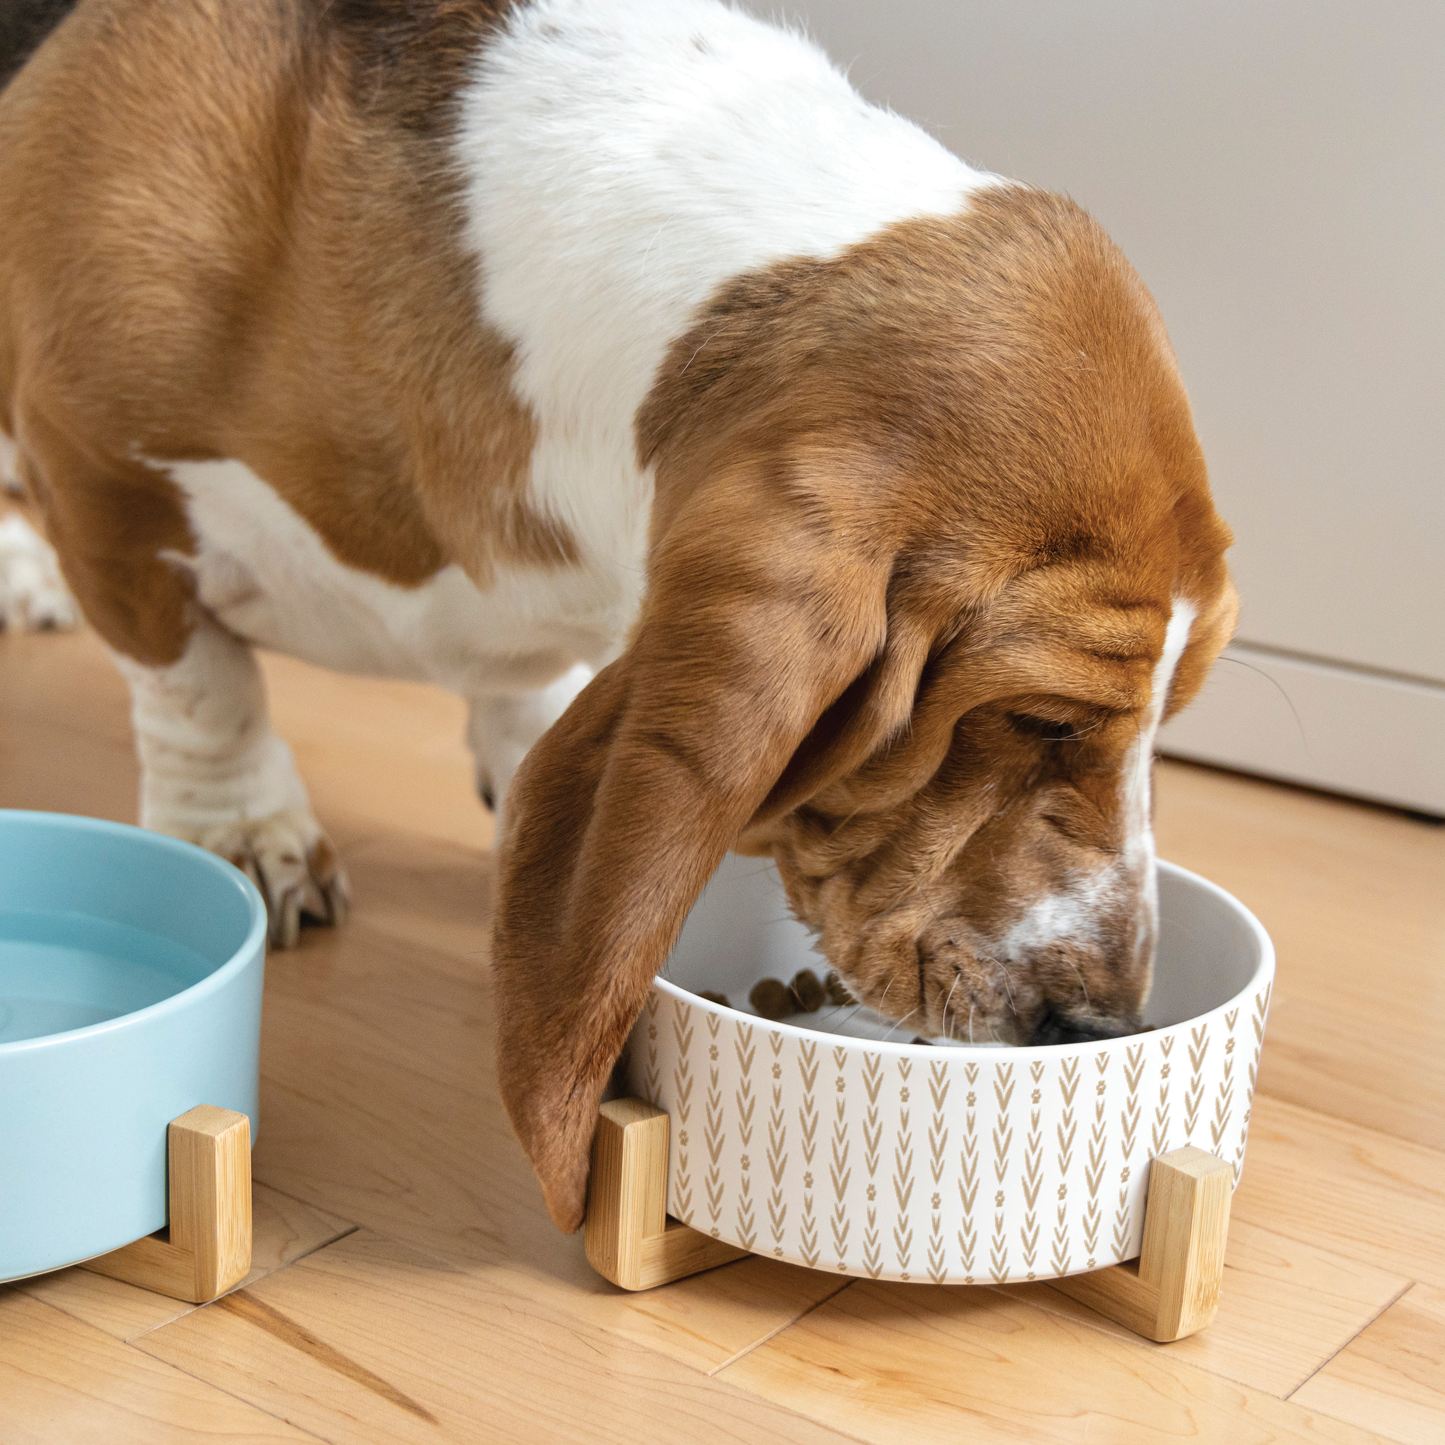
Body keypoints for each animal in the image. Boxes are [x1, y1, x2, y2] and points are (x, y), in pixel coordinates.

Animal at [2, 0, 1242, 1231]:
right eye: (1038, 719)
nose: (1102, 1025)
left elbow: (526, 704)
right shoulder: (99, 480)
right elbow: (204, 688)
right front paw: (244, 832)